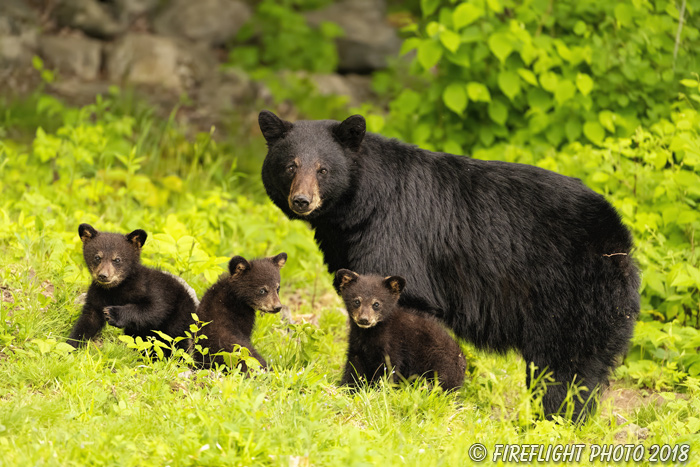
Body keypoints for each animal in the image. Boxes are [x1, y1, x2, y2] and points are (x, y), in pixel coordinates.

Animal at [67, 223, 198, 354]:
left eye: (117, 259)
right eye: (97, 257)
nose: (103, 275)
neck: (116, 288)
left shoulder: (149, 287)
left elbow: (154, 308)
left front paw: (112, 313)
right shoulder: (98, 293)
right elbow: (89, 320)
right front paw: (70, 345)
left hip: (181, 316)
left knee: (176, 339)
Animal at [336, 268, 468, 394]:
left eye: (376, 304)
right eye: (356, 301)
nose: (364, 319)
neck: (368, 336)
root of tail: (463, 364)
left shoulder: (393, 346)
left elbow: (388, 371)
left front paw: (379, 392)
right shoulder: (356, 348)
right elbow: (353, 369)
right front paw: (346, 389)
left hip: (440, 367)